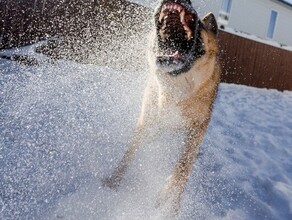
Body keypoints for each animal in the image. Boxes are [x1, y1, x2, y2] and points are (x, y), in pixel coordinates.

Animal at [104, 0, 220, 214]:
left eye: (200, 23)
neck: (175, 88)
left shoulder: (198, 128)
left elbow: (181, 168)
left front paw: (166, 198)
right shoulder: (147, 119)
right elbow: (129, 153)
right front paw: (113, 182)